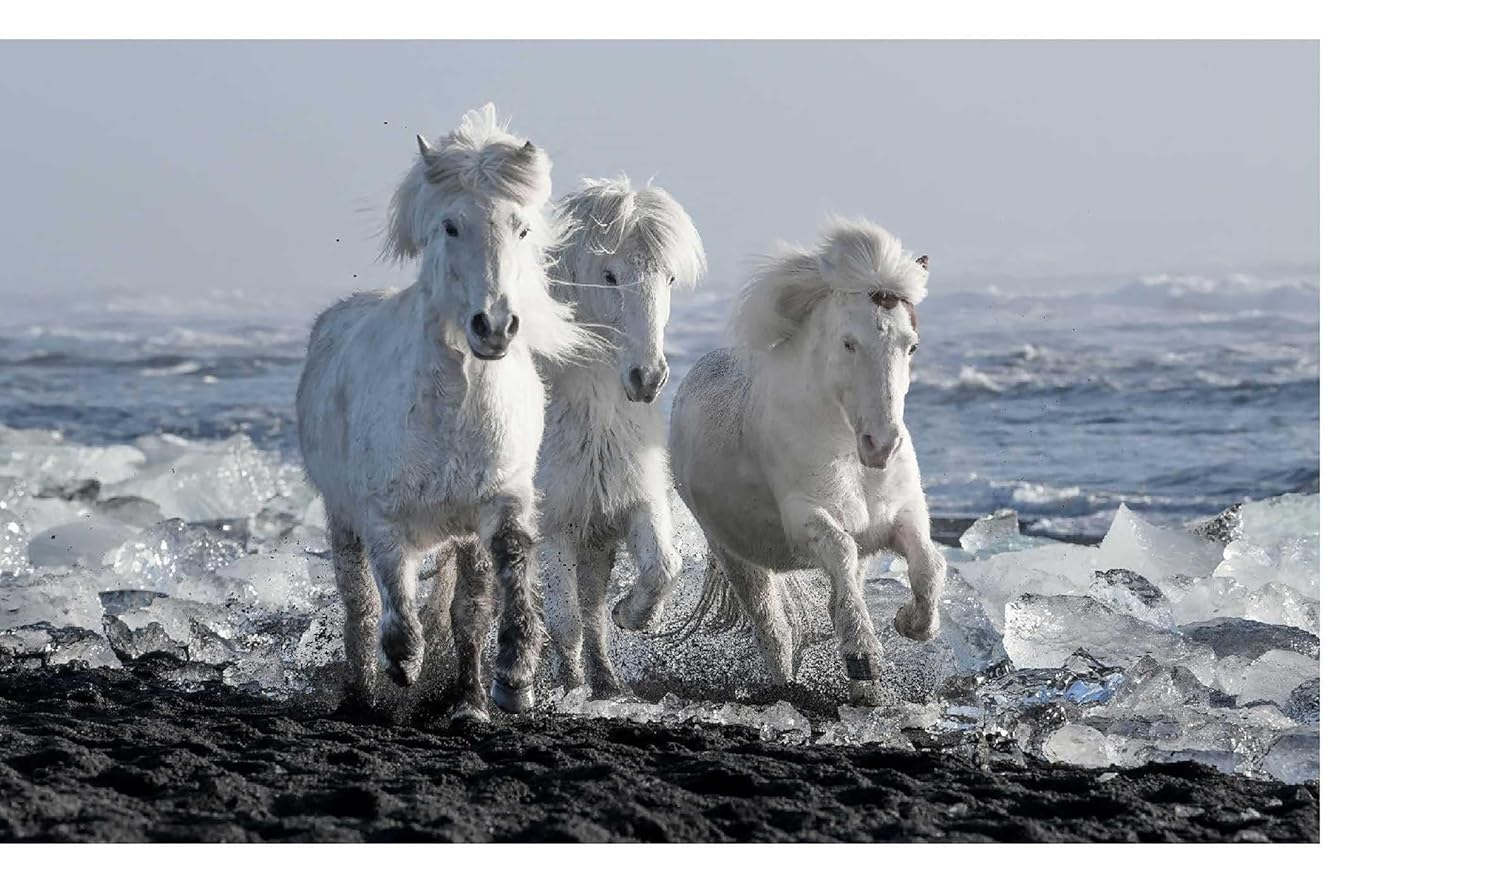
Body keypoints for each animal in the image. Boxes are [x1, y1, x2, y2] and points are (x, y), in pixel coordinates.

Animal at [295, 104, 593, 722]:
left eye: (521, 228)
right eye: (451, 226)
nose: (494, 327)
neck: (453, 408)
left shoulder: (499, 500)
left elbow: (500, 581)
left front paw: (513, 682)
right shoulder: (381, 515)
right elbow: (391, 595)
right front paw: (403, 663)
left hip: (460, 537)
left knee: (466, 611)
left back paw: (468, 702)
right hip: (342, 518)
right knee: (358, 606)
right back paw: (362, 696)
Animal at [536, 176, 706, 696]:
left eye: (667, 279)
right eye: (609, 276)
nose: (646, 378)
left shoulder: (630, 504)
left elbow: (661, 567)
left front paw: (631, 617)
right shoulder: (553, 524)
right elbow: (564, 621)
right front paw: (571, 688)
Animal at [668, 218, 944, 705]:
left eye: (911, 346)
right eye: (849, 343)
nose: (881, 445)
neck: (846, 450)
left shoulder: (899, 517)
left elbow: (928, 565)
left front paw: (910, 624)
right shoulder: (804, 517)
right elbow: (839, 548)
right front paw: (863, 655)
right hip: (736, 555)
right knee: (772, 630)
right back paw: (787, 690)